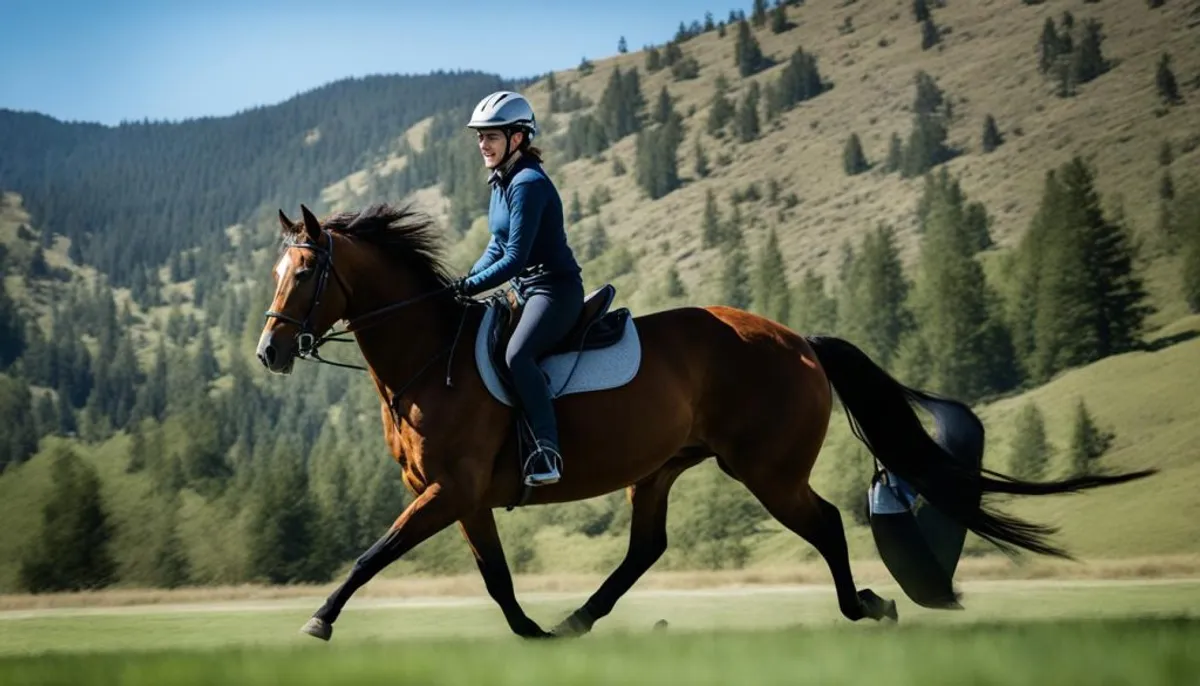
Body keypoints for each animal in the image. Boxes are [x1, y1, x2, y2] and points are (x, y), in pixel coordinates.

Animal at [258, 203, 1156, 642]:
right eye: (276, 273)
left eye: (304, 273)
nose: (269, 351)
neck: (427, 358)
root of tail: (798, 341)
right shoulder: (466, 498)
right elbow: (496, 580)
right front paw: (533, 633)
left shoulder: (448, 490)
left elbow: (372, 554)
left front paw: (319, 620)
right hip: (662, 467)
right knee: (647, 549)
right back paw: (580, 619)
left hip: (766, 469)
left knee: (825, 524)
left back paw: (868, 608)